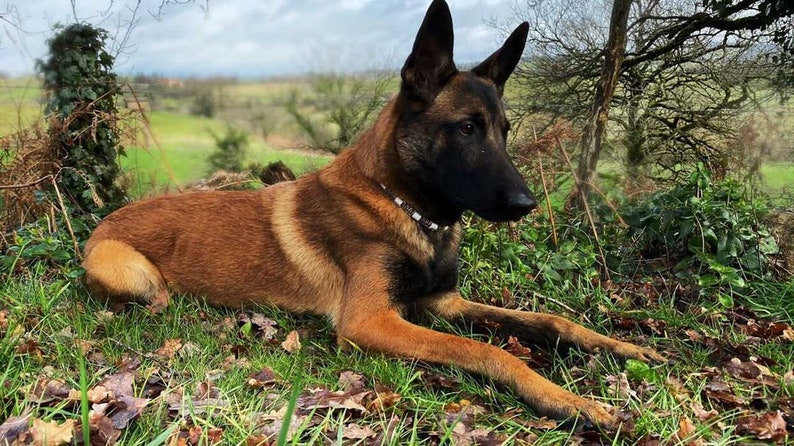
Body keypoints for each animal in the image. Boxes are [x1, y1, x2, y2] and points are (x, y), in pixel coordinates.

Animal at [82, 0, 664, 426]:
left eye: (504, 130)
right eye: (467, 128)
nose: (527, 204)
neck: (410, 211)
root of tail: (105, 222)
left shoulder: (443, 303)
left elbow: (545, 319)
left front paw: (619, 346)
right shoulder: (372, 321)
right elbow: (491, 352)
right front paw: (568, 400)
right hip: (134, 275)